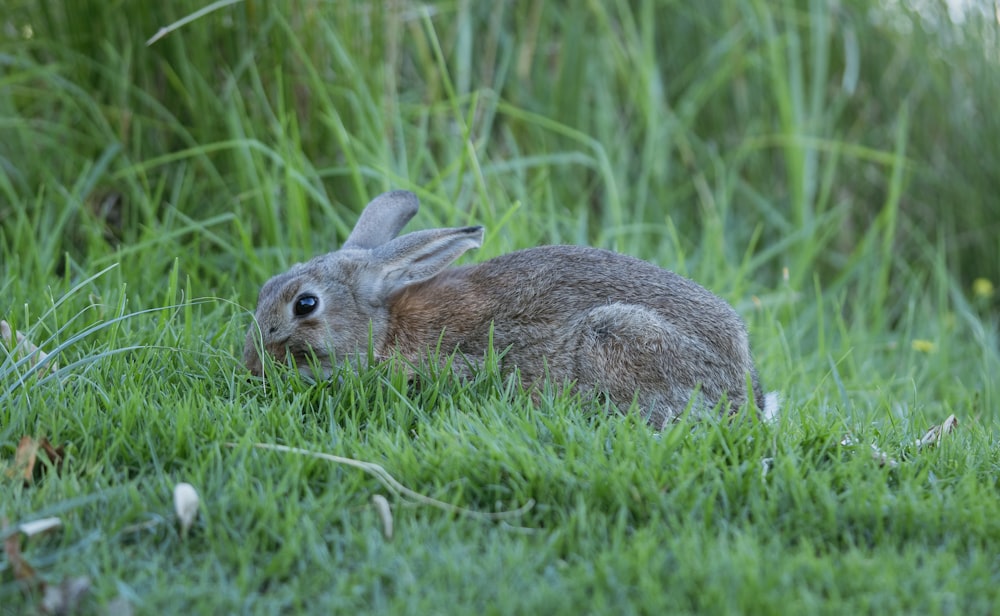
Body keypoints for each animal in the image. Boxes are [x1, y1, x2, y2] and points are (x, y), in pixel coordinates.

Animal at [244, 190, 780, 426]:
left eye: (305, 304)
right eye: (266, 286)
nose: (252, 366)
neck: (384, 328)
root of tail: (746, 394)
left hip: (617, 333)